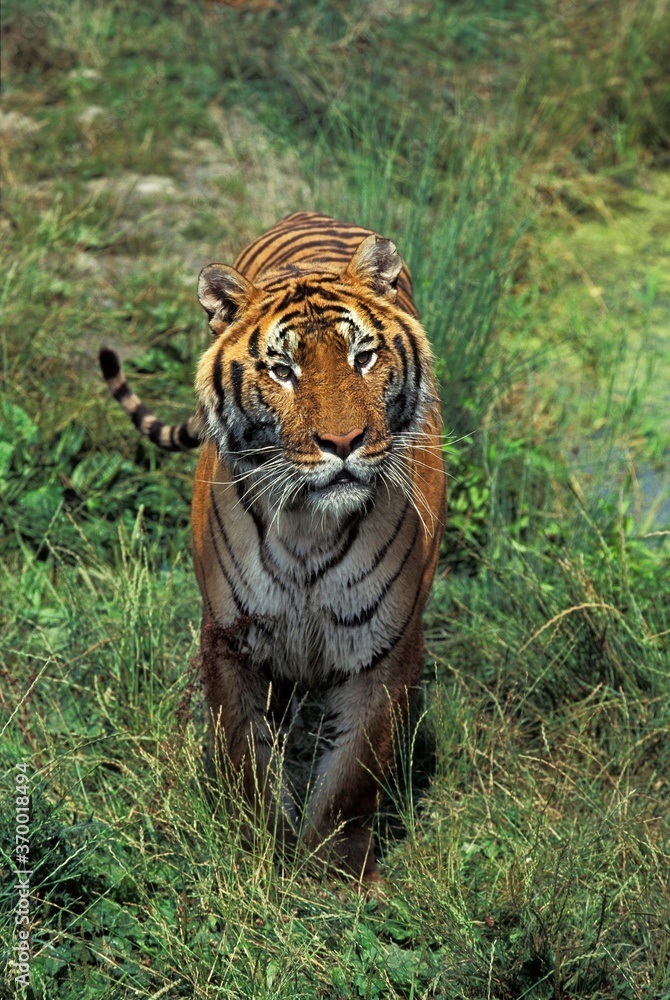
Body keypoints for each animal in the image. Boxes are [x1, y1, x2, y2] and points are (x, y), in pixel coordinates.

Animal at [100, 213, 446, 884]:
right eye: (283, 370)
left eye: (364, 357)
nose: (344, 441)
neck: (310, 530)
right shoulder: (231, 633)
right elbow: (246, 756)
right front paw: (261, 854)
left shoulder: (385, 645)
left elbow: (352, 774)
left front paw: (332, 875)